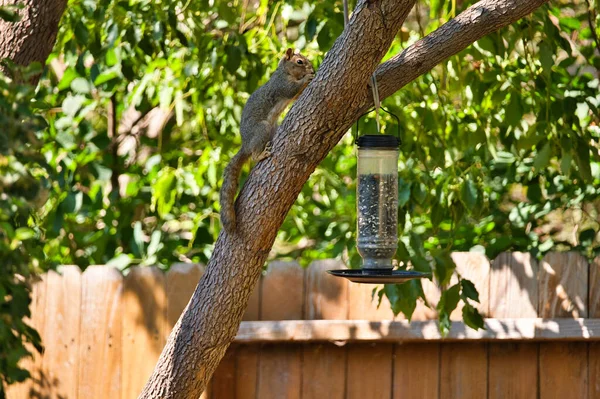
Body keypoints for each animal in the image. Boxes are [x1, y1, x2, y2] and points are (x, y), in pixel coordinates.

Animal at [219, 48, 314, 233]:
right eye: (299, 62)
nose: (312, 68)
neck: (285, 72)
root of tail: (246, 145)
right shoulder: (281, 86)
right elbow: (292, 90)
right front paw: (308, 77)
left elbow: (295, 95)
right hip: (261, 129)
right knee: (254, 155)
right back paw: (261, 154)